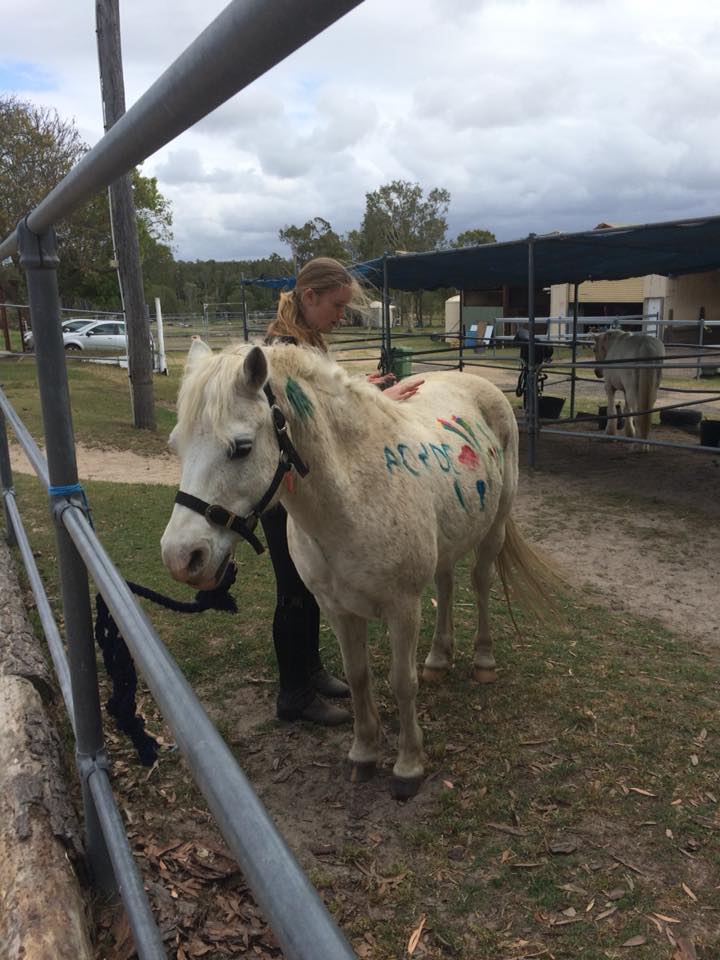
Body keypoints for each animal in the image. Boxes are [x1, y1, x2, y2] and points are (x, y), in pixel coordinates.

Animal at [161, 339, 554, 799]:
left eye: (240, 446)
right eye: (177, 444)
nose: (181, 556)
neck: (356, 495)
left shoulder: (403, 609)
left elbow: (402, 682)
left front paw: (408, 765)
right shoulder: (338, 609)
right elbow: (359, 675)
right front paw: (364, 752)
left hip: (494, 529)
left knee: (480, 583)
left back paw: (483, 660)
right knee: (447, 585)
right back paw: (439, 659)